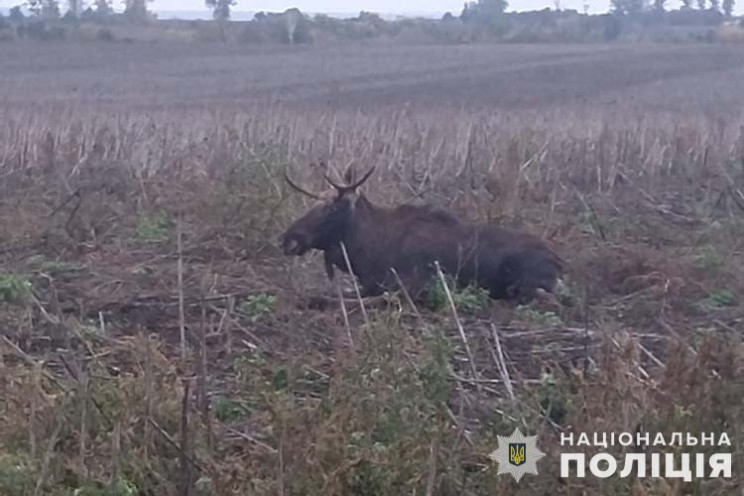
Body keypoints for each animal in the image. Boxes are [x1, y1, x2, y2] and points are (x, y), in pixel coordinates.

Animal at [282, 166, 560, 302]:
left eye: (332, 209)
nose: (288, 239)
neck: (366, 251)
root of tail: (560, 262)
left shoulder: (416, 284)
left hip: (524, 281)